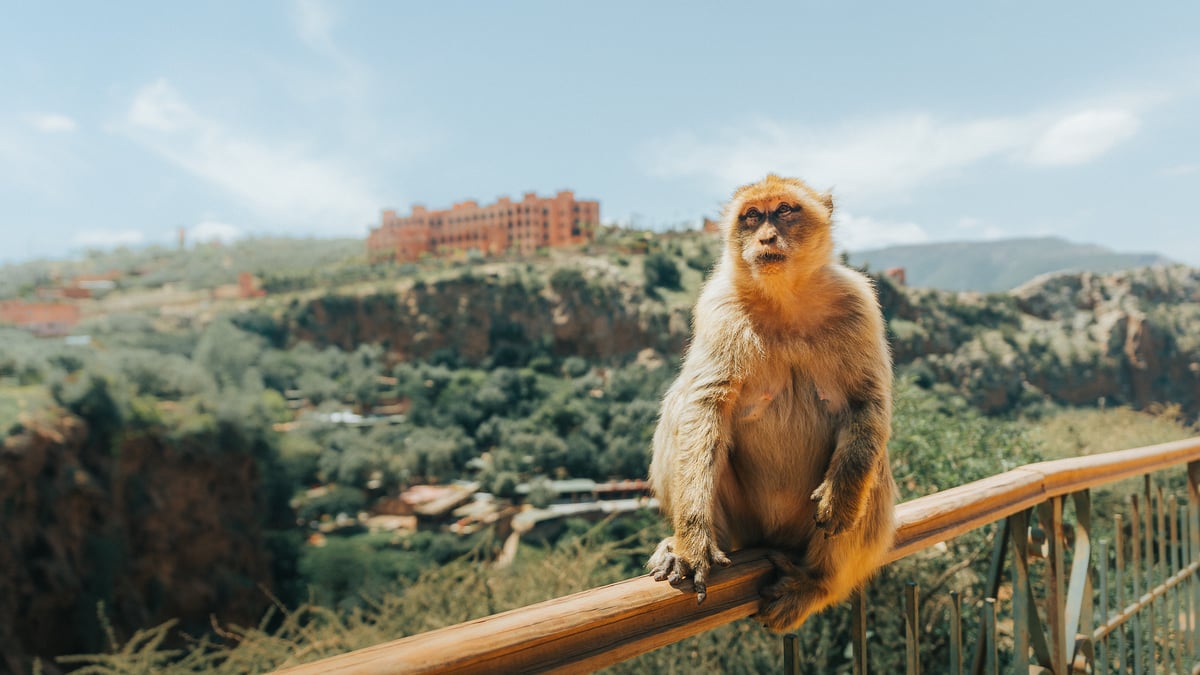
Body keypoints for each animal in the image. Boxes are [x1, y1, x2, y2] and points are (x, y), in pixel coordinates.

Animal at [648, 171, 902, 629]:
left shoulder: (858, 302)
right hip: (745, 524)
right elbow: (705, 406)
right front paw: (693, 539)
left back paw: (816, 583)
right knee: (682, 405)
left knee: (870, 462)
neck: (784, 298)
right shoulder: (719, 307)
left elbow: (866, 402)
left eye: (784, 210)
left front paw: (842, 495)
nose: (766, 236)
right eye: (752, 216)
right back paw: (683, 544)